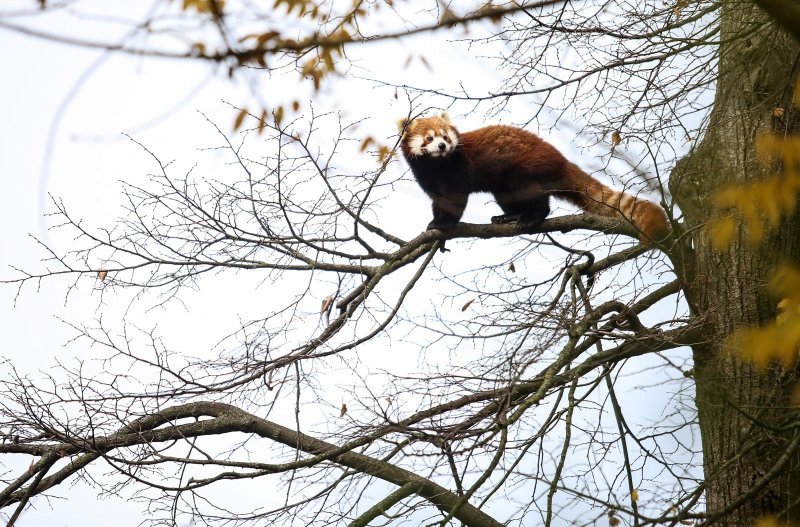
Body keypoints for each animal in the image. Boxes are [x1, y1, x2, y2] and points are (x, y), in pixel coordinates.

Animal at [398, 115, 668, 243]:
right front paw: (436, 220)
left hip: (524, 168)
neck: (437, 165)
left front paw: (444, 224)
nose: (443, 146)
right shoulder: (427, 177)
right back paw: (509, 216)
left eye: (445, 136)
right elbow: (438, 200)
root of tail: (559, 158)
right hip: (505, 185)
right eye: (429, 138)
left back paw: (532, 216)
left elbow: (455, 199)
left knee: (533, 195)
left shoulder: (458, 169)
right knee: (507, 197)